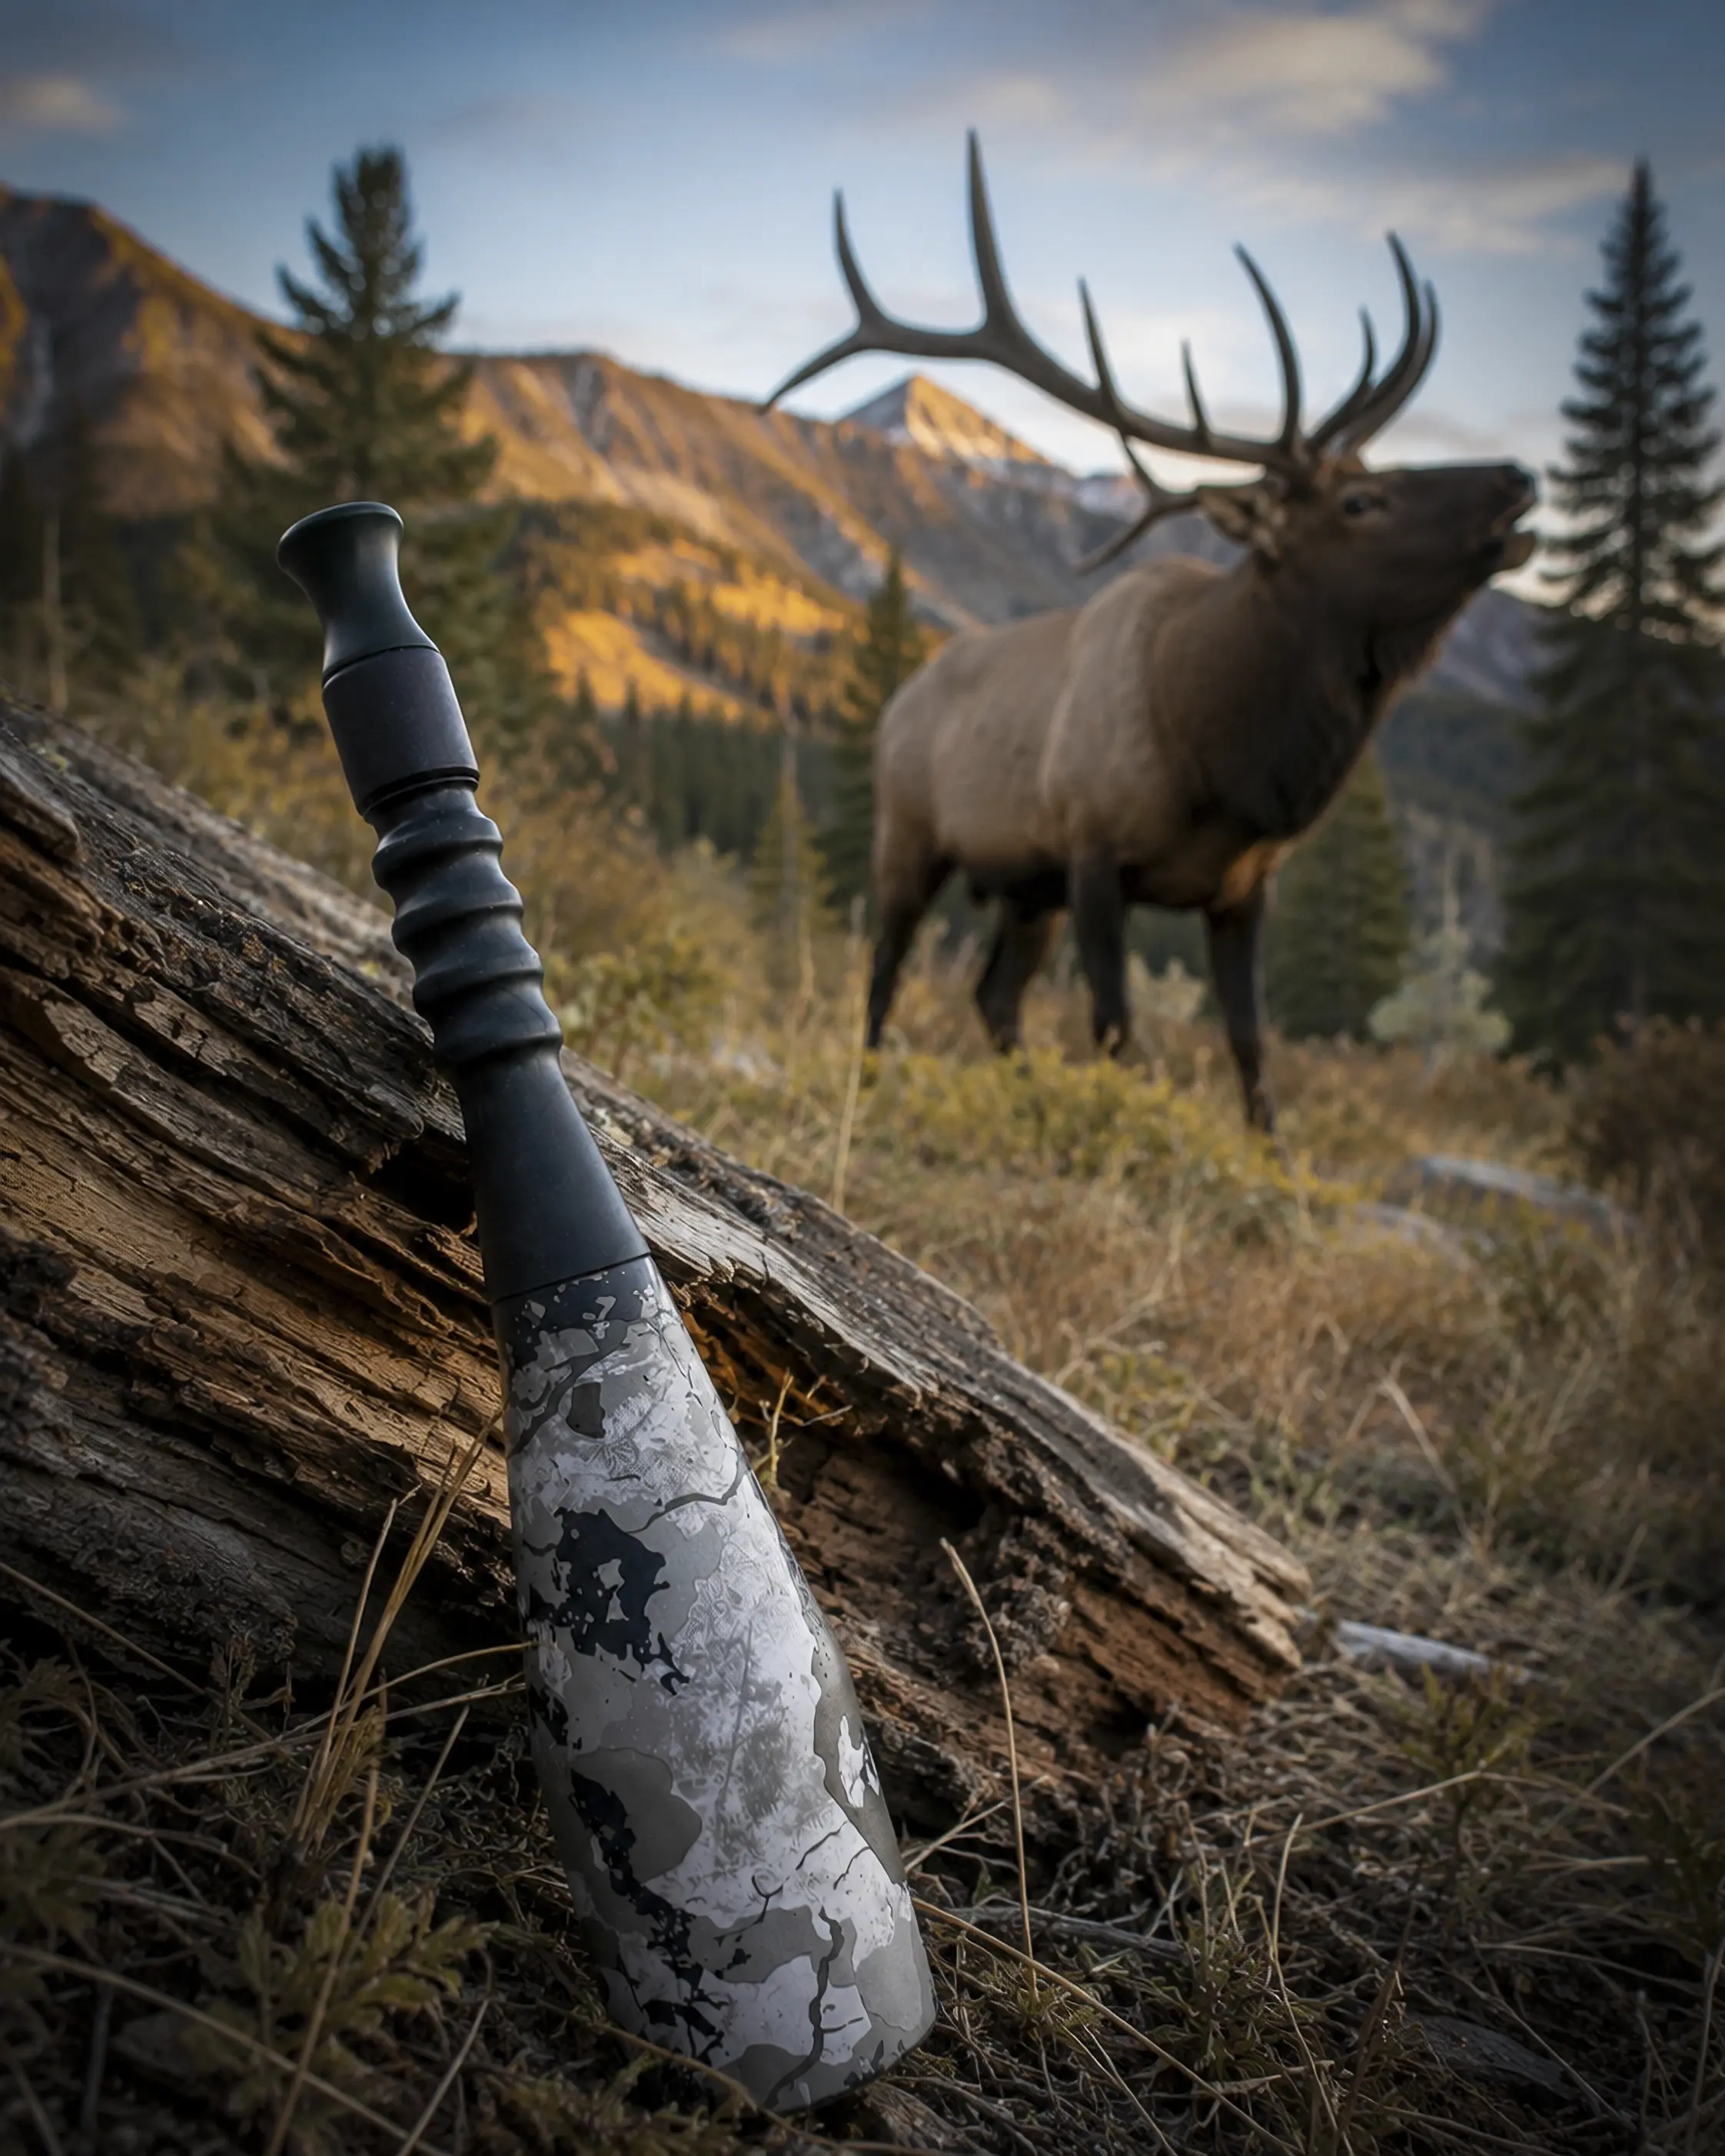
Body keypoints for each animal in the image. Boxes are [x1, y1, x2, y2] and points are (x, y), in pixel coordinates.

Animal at [762, 136, 1536, 1131]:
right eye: (1362, 502)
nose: (1515, 478)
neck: (1225, 752)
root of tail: (899, 697)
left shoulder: (1245, 888)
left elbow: (1250, 1048)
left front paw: (1260, 1153)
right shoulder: (1095, 854)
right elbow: (1117, 1027)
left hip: (1025, 891)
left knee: (993, 994)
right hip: (912, 834)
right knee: (887, 968)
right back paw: (876, 1076)